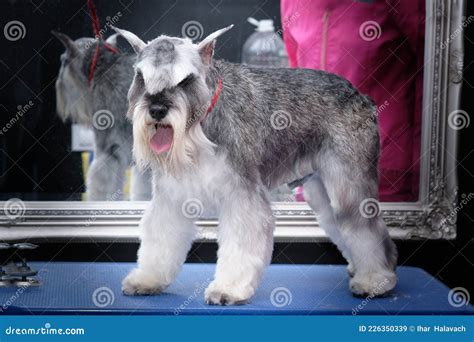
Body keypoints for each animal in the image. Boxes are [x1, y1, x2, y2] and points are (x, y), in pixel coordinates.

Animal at [113, 26, 398, 304]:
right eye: (141, 77)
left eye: (185, 79)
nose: (157, 110)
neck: (200, 129)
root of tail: (360, 95)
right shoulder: (171, 199)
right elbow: (160, 239)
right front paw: (148, 279)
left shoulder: (242, 196)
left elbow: (240, 244)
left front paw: (228, 289)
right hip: (322, 191)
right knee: (341, 227)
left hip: (349, 185)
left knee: (367, 230)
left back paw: (375, 279)